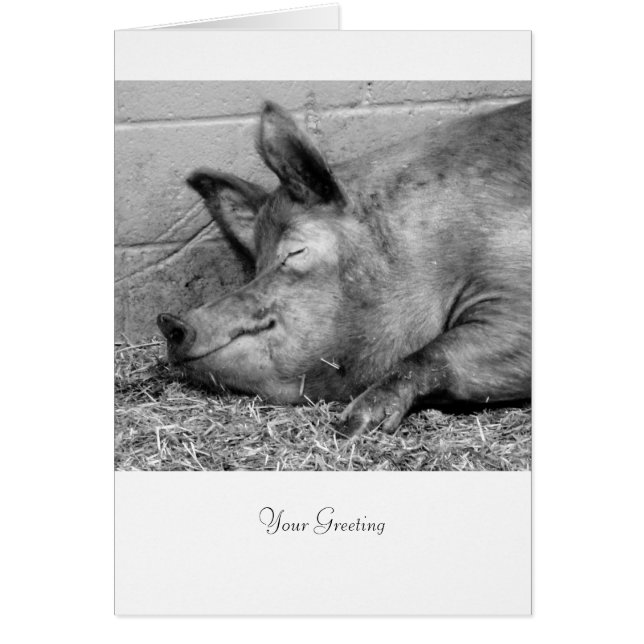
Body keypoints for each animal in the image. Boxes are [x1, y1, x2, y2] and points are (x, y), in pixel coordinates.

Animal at [157, 99, 531, 437]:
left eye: (295, 251)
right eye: (257, 265)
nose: (170, 321)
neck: (423, 249)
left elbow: (431, 355)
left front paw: (352, 424)